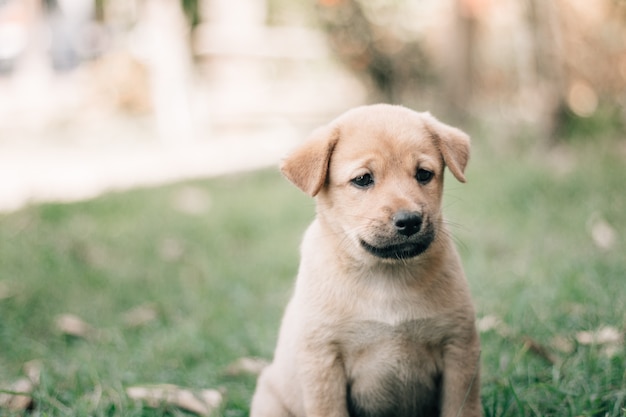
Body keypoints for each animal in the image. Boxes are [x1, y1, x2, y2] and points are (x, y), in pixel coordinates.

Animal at [251, 104, 480, 416]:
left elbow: (461, 407)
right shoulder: (323, 360)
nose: (410, 221)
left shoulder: (459, 347)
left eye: (423, 174)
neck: (386, 276)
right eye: (362, 180)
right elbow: (330, 410)